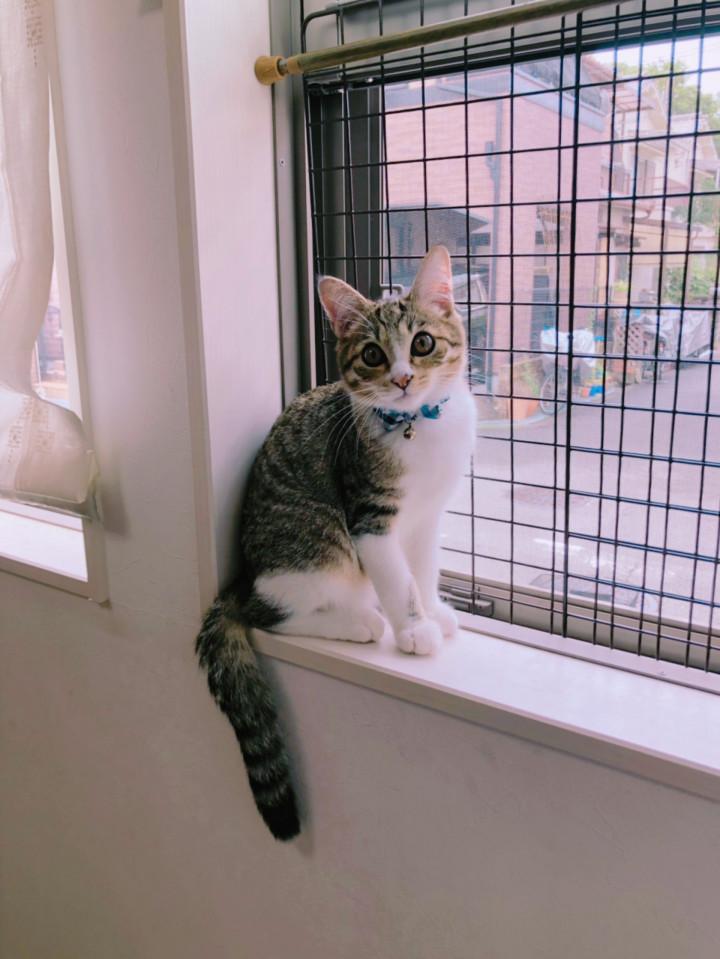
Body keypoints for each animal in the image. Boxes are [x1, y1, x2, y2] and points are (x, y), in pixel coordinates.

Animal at [196, 245, 476, 840]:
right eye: (371, 354)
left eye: (422, 343)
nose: (401, 379)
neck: (418, 427)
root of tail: (242, 578)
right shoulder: (368, 514)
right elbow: (397, 578)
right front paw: (413, 629)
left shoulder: (428, 515)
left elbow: (423, 567)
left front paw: (435, 610)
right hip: (315, 544)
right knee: (267, 613)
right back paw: (360, 621)